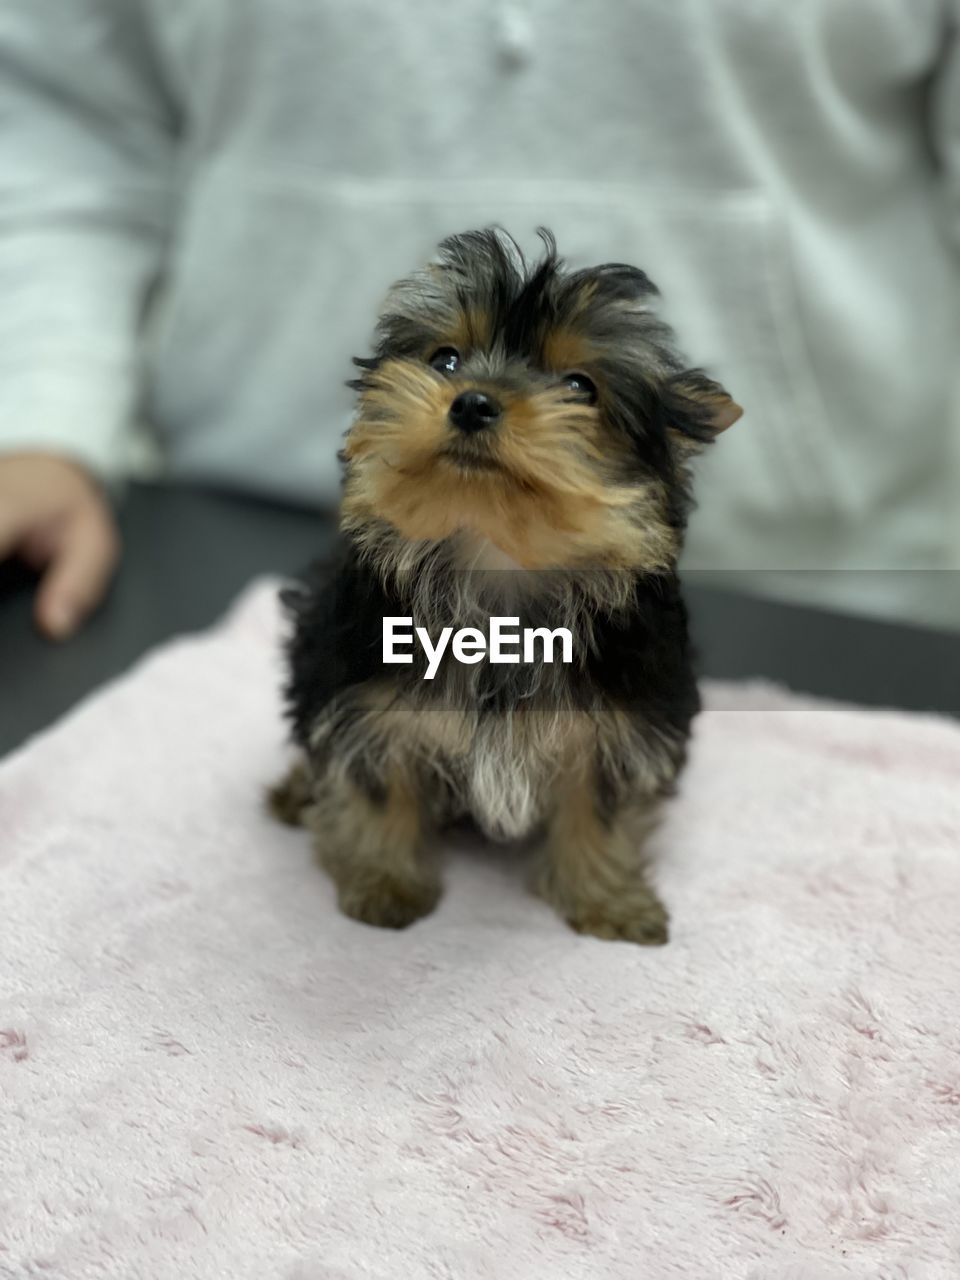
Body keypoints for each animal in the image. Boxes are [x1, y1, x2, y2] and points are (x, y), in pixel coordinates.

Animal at [271, 230, 742, 947]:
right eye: (445, 359)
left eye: (580, 386)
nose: (472, 401)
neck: (496, 562)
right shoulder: (364, 697)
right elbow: (378, 784)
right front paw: (384, 880)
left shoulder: (624, 717)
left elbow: (598, 806)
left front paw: (607, 897)